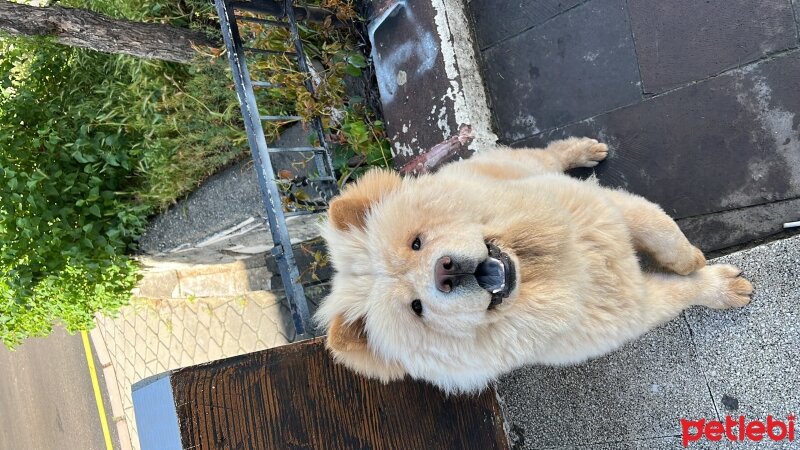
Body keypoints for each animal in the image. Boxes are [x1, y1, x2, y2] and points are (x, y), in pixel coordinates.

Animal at [316, 138, 752, 394]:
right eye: (417, 308)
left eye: (416, 243)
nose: (444, 272)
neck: (548, 271)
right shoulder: (631, 307)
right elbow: (682, 290)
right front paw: (724, 287)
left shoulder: (606, 210)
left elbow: (659, 227)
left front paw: (691, 257)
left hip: (516, 164)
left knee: (549, 155)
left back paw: (587, 150)